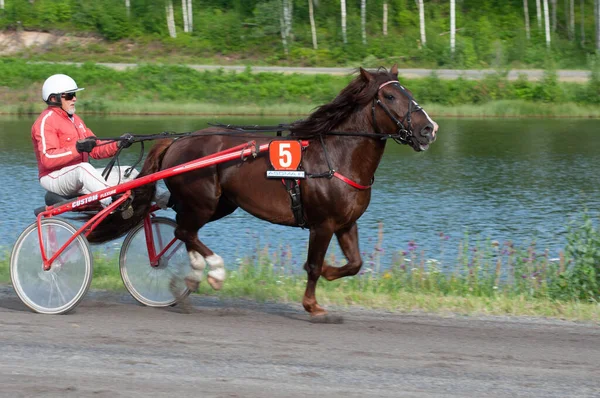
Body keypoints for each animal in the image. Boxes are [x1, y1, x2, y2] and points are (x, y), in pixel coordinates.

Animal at [88, 65, 436, 320]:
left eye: (408, 92)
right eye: (389, 96)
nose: (428, 129)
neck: (336, 158)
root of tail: (178, 140)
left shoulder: (346, 223)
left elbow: (355, 264)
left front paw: (328, 274)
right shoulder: (322, 224)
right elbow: (313, 266)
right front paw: (313, 305)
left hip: (219, 204)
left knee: (184, 231)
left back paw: (194, 275)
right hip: (203, 201)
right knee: (185, 231)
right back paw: (213, 270)